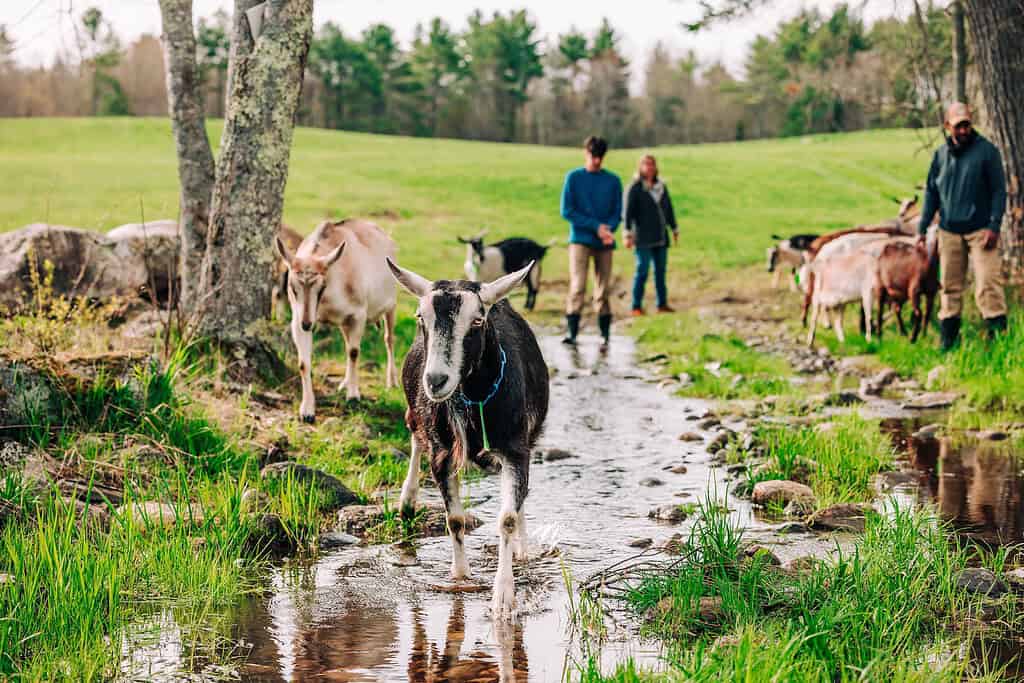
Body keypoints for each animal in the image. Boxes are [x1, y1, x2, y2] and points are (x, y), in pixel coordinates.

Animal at [274, 219, 398, 421]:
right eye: (292, 287)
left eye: (321, 286)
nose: (307, 324)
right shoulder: (298, 320)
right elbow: (303, 363)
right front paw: (307, 411)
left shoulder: (358, 314)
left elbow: (354, 352)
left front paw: (353, 396)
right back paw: (344, 383)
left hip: (391, 304)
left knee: (388, 339)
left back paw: (392, 381)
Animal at [387, 258, 549, 621]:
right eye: (420, 317)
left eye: (477, 319)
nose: (436, 381)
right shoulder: (442, 453)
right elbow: (455, 519)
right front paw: (460, 576)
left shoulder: (515, 450)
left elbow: (507, 517)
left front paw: (503, 599)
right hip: (415, 409)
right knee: (414, 434)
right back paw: (407, 499)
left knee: (520, 500)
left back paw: (523, 548)